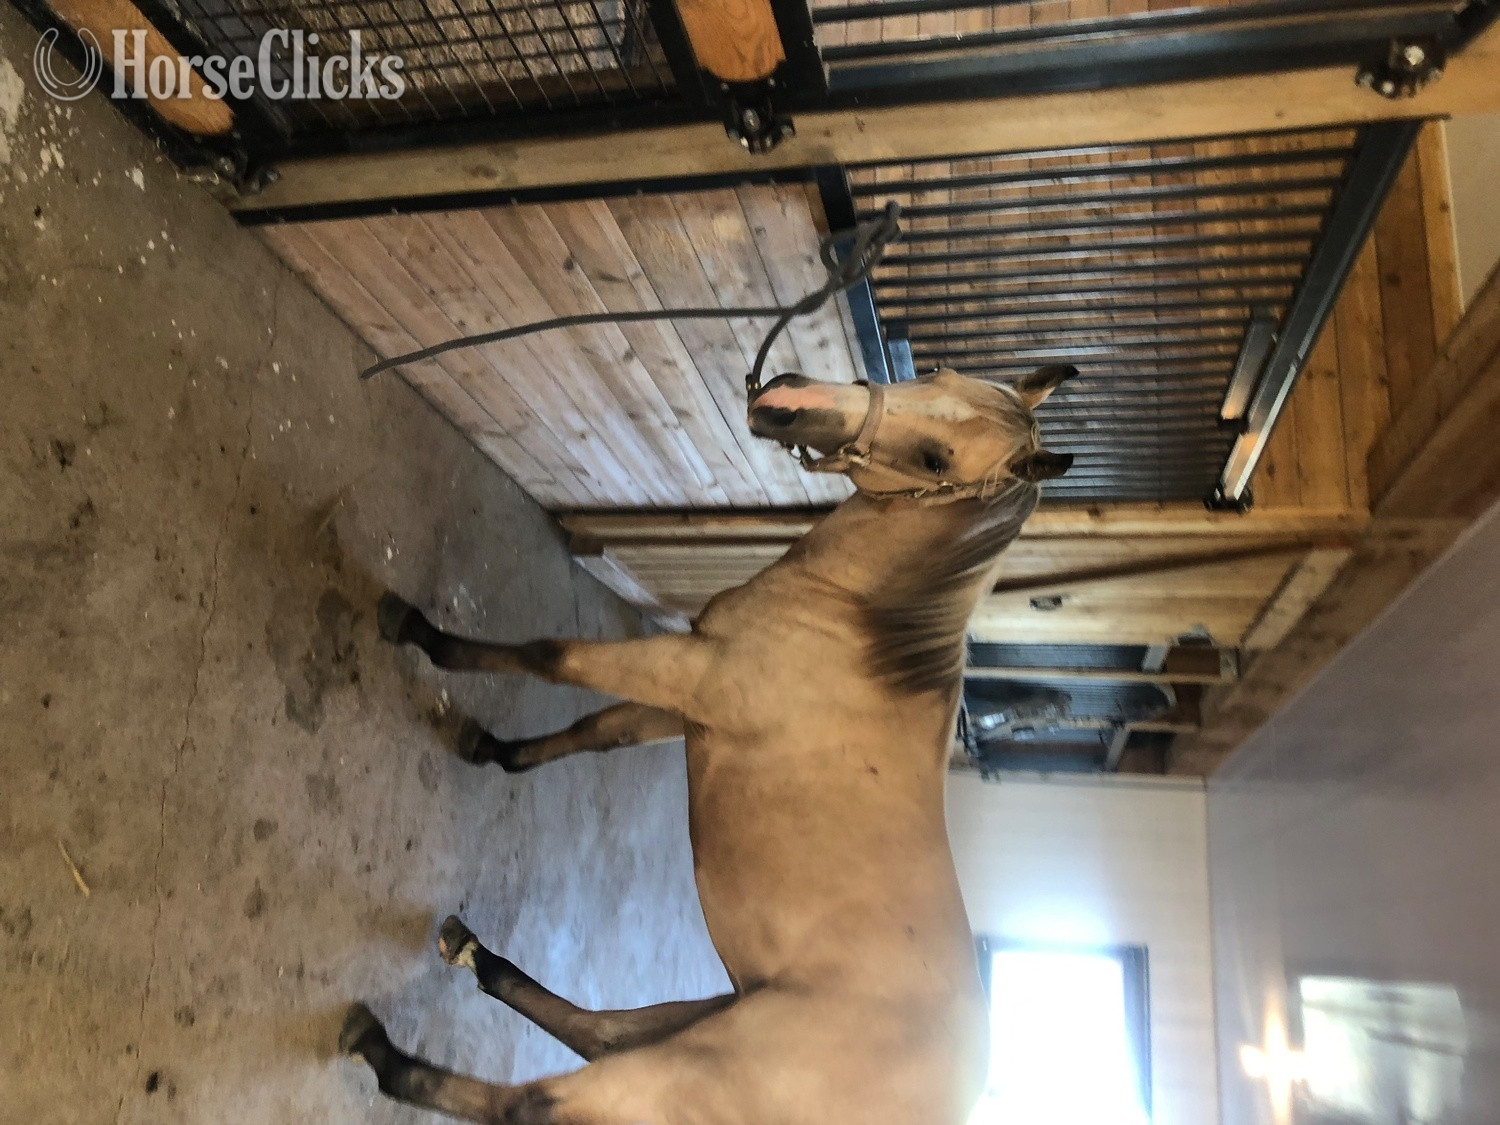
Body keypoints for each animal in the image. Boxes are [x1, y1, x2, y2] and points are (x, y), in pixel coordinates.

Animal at [342, 363, 1077, 1125]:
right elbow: (596, 733)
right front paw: (492, 749)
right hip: (700, 1020)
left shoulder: (682, 671)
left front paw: (420, 634)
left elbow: (552, 656)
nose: (787, 401)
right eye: (933, 374)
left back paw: (383, 1052)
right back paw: (471, 955)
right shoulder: (688, 701)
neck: (851, 628)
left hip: (684, 1070)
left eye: (938, 461)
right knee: (600, 1031)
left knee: (533, 1102)